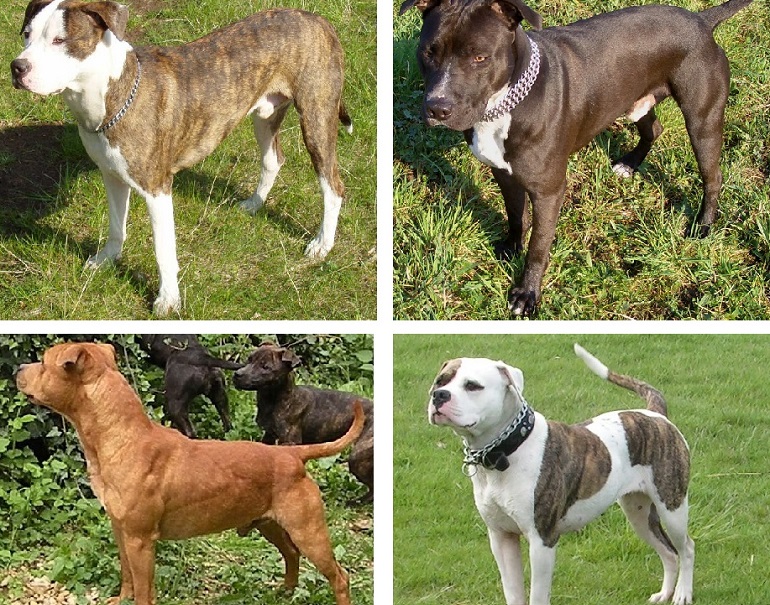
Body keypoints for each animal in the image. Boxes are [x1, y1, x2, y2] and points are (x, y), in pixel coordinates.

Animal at [232, 342, 374, 502]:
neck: (275, 400)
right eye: (249, 359)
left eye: (265, 367)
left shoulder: (289, 441)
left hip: (358, 457)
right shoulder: (269, 435)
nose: (237, 374)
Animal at [428, 344, 692, 604]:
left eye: (472, 385)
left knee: (686, 548)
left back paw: (682, 594)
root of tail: (656, 415)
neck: (507, 451)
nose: (439, 395)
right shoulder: (502, 538)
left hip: (672, 507)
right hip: (638, 512)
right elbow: (512, 591)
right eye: (440, 381)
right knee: (669, 553)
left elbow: (537, 595)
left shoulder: (542, 541)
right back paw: (665, 594)